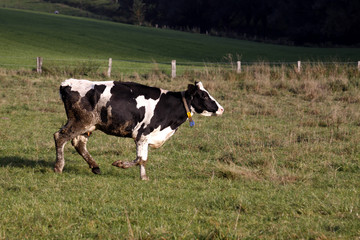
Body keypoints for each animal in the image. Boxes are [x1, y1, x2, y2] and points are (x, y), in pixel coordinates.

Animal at [53, 79, 224, 180]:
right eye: (204, 95)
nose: (221, 109)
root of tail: (67, 83)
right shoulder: (142, 134)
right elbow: (141, 159)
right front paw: (120, 164)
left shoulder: (147, 137)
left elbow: (143, 159)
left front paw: (143, 178)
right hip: (81, 122)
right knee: (60, 137)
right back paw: (58, 166)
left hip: (88, 125)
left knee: (78, 143)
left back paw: (95, 167)